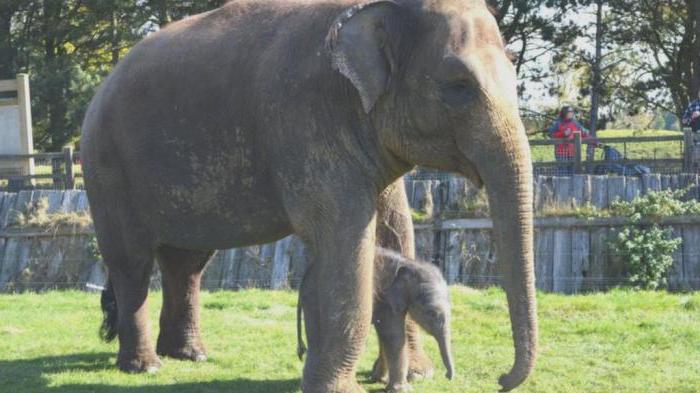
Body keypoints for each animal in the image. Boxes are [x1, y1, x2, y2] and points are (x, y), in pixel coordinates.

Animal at [296, 247, 454, 390]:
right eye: (431, 313)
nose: (448, 376)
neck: (410, 265)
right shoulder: (386, 298)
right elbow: (394, 336)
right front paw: (402, 389)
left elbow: (384, 336)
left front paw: (380, 380)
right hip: (315, 298)